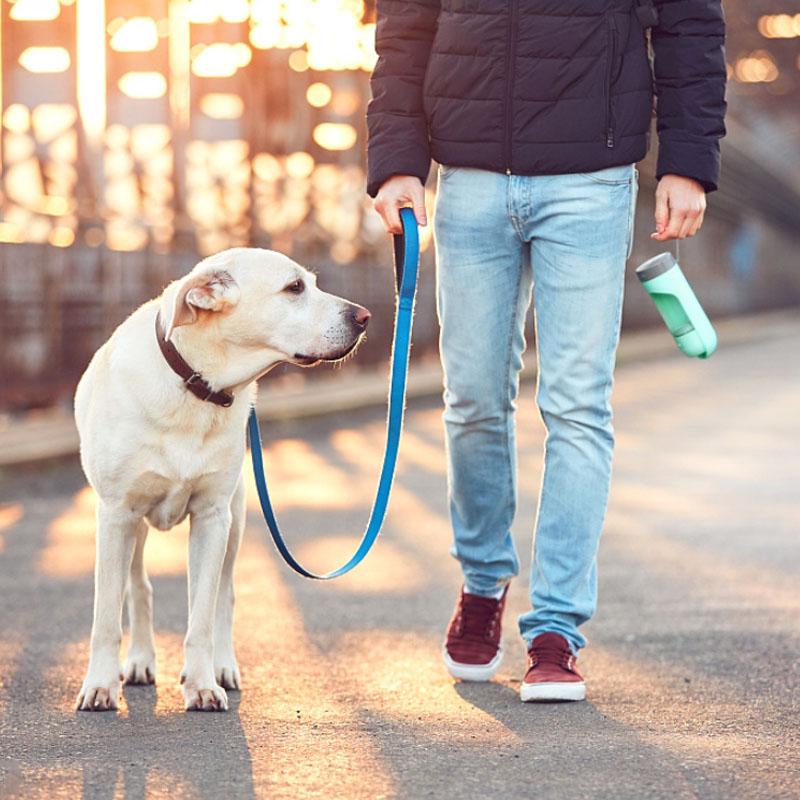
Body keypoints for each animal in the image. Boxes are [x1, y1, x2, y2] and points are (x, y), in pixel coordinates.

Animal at [73, 250, 370, 712]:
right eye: (294, 288)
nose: (364, 317)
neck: (196, 385)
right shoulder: (117, 515)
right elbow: (106, 615)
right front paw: (100, 685)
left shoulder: (213, 518)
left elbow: (202, 615)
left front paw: (200, 684)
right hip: (134, 527)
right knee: (138, 587)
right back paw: (140, 660)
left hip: (235, 520)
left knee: (223, 597)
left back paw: (223, 666)